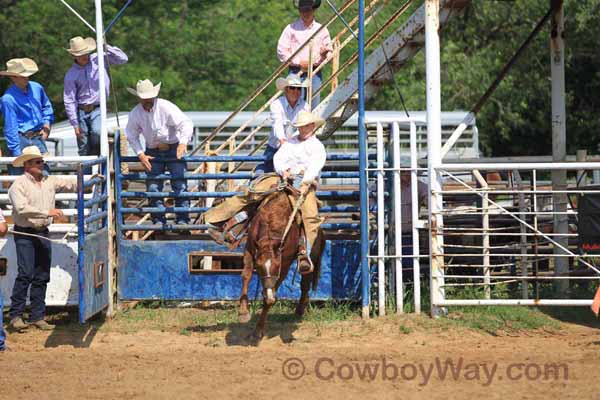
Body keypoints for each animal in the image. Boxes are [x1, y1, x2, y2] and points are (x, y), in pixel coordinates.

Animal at [239, 186, 324, 342]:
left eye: (276, 267)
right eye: (258, 267)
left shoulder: (284, 263)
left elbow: (271, 294)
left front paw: (258, 331)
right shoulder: (249, 249)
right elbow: (246, 275)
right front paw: (243, 312)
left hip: (311, 257)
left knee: (305, 284)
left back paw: (299, 310)